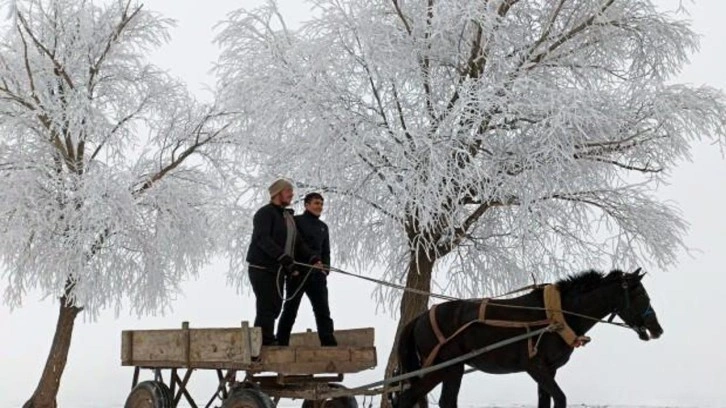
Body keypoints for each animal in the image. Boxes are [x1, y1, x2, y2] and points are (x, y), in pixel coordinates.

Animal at [392, 268, 664, 408]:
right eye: (640, 294)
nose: (657, 329)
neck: (557, 315)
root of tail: (419, 318)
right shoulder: (535, 366)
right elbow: (560, 399)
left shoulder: (550, 370)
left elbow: (546, 402)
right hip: (442, 367)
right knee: (407, 400)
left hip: (451, 369)